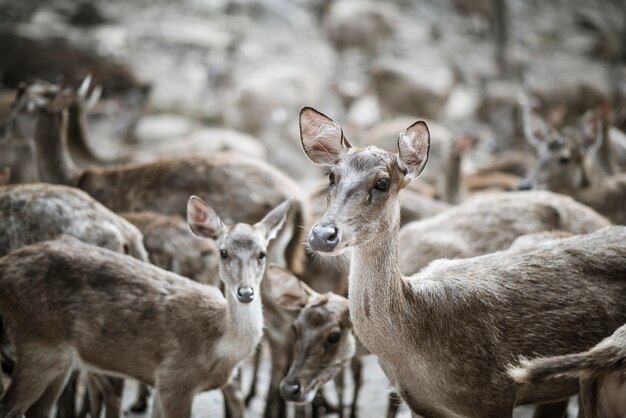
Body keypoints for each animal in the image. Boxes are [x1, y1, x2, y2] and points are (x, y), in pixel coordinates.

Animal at [0, 196, 288, 418]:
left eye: (262, 253)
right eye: (224, 252)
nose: (245, 292)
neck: (216, 343)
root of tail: (6, 265)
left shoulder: (161, 383)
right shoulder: (174, 378)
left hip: (57, 359)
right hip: (38, 341)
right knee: (9, 406)